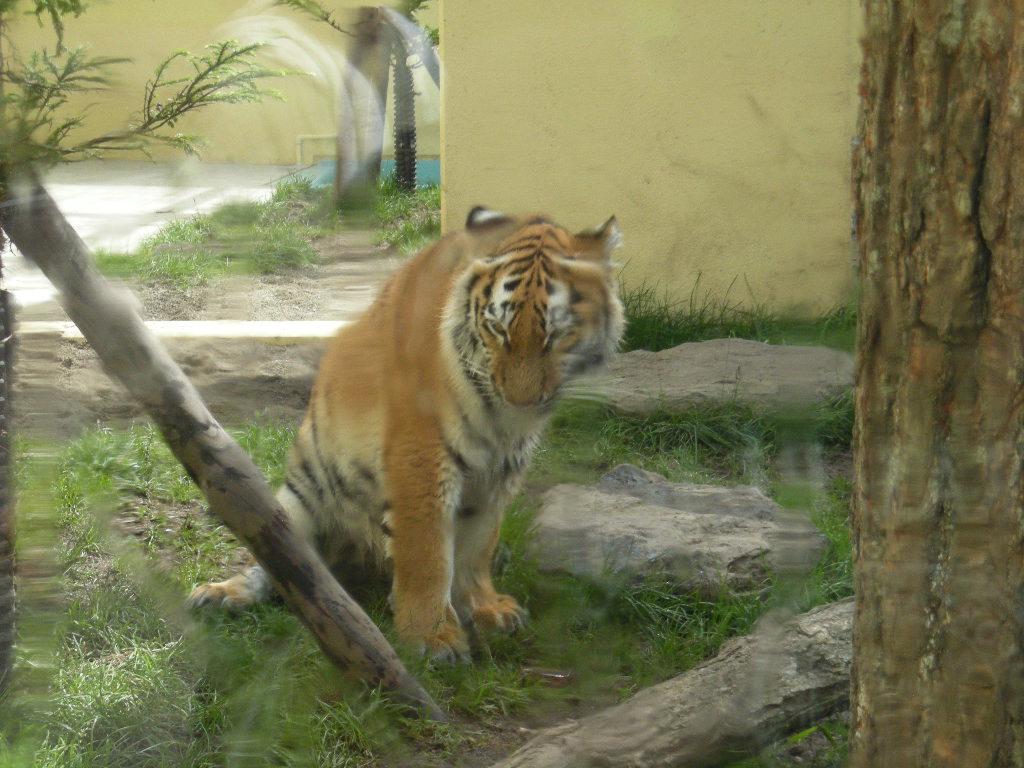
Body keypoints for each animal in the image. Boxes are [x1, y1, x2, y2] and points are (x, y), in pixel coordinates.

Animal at [187, 206, 625, 661]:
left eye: (556, 334)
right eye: (498, 329)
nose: (520, 401)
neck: (499, 420)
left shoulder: (501, 467)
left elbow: (477, 545)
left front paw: (484, 608)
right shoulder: (422, 454)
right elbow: (427, 553)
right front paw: (432, 637)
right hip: (298, 501)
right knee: (278, 569)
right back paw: (221, 594)